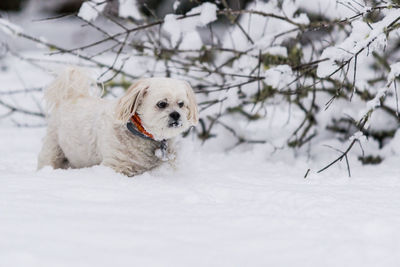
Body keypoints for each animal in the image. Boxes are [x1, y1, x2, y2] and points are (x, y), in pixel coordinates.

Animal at [38, 67, 198, 176]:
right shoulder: (117, 166)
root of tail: (72, 96)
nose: (176, 115)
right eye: (161, 104)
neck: (144, 134)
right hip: (53, 150)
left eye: (181, 104)